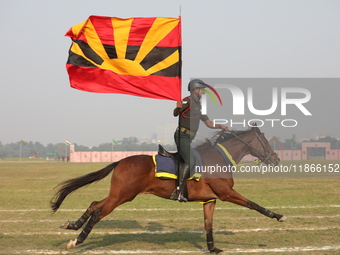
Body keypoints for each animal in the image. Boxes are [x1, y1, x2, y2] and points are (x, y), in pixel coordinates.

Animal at [50, 125, 286, 253]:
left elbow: (208, 225)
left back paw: (72, 225)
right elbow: (254, 204)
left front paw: (212, 248)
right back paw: (76, 240)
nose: (276, 159)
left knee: (93, 205)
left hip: (120, 195)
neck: (219, 158)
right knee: (98, 213)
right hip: (122, 195)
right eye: (265, 140)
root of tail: (120, 161)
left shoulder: (210, 199)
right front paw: (278, 215)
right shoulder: (226, 194)